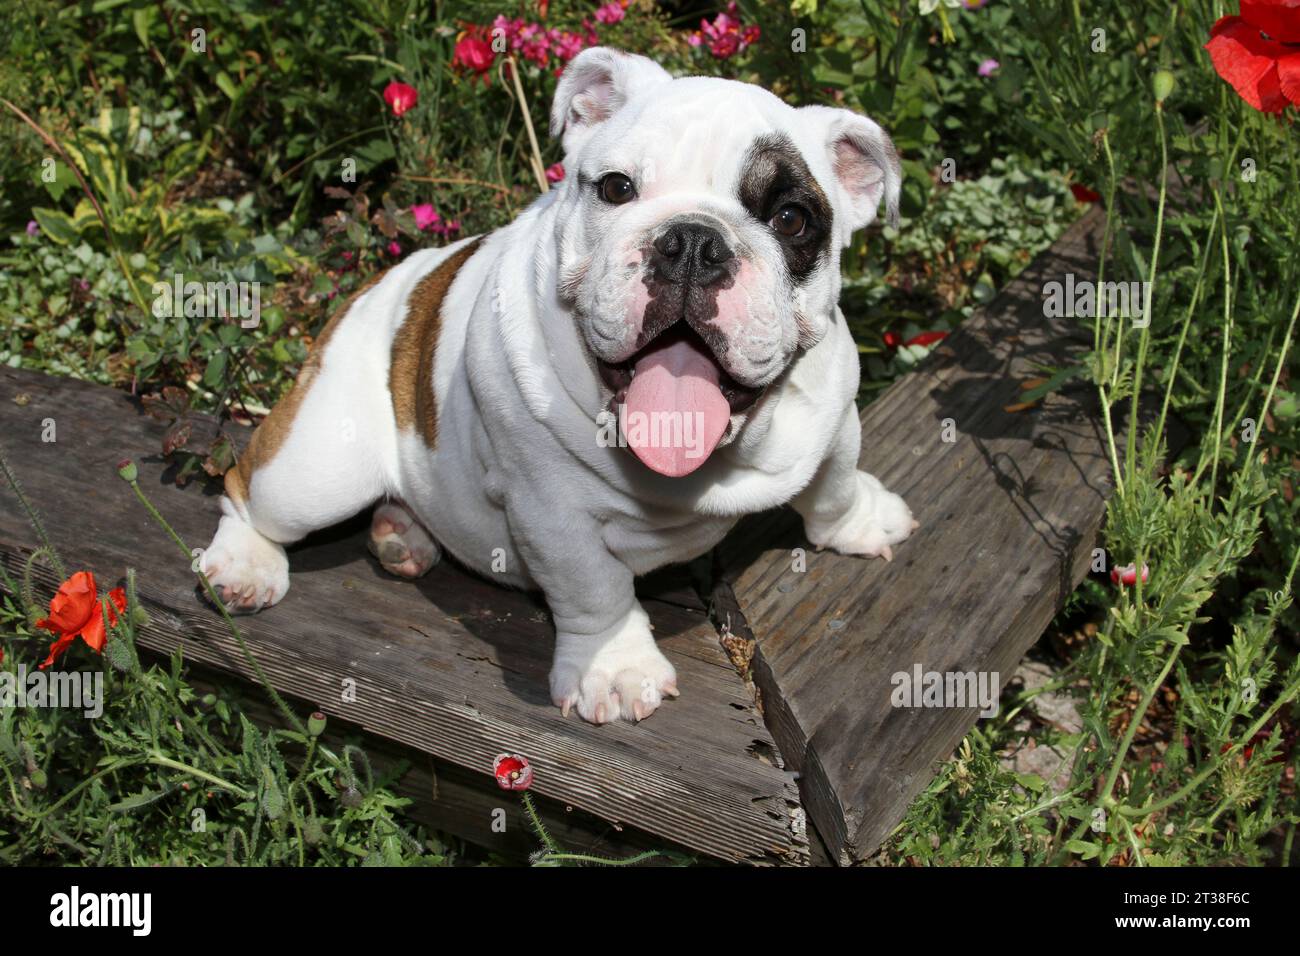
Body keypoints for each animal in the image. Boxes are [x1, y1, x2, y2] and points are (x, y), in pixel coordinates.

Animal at [200, 46, 915, 723]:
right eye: (617, 188)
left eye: (792, 219)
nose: (692, 241)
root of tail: (370, 288)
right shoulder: (552, 513)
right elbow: (594, 588)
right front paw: (617, 668)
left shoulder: (836, 424)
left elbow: (834, 486)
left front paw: (861, 520)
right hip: (319, 466)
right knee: (245, 490)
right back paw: (246, 565)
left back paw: (402, 532)